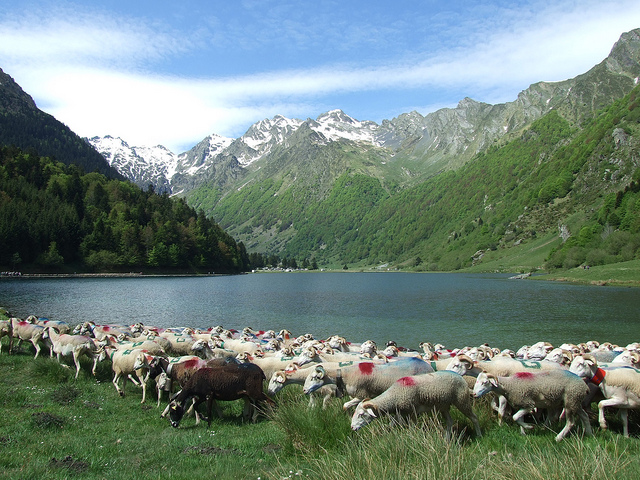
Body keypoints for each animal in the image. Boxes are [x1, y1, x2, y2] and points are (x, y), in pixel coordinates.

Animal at [350, 372, 480, 438]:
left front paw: (412, 436)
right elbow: (392, 425)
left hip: (462, 400)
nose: (352, 427)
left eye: (361, 414)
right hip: (443, 406)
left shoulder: (411, 411)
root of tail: (462, 378)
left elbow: (412, 427)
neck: (394, 395)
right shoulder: (401, 413)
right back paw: (447, 439)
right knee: (449, 422)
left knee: (474, 418)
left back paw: (479, 435)